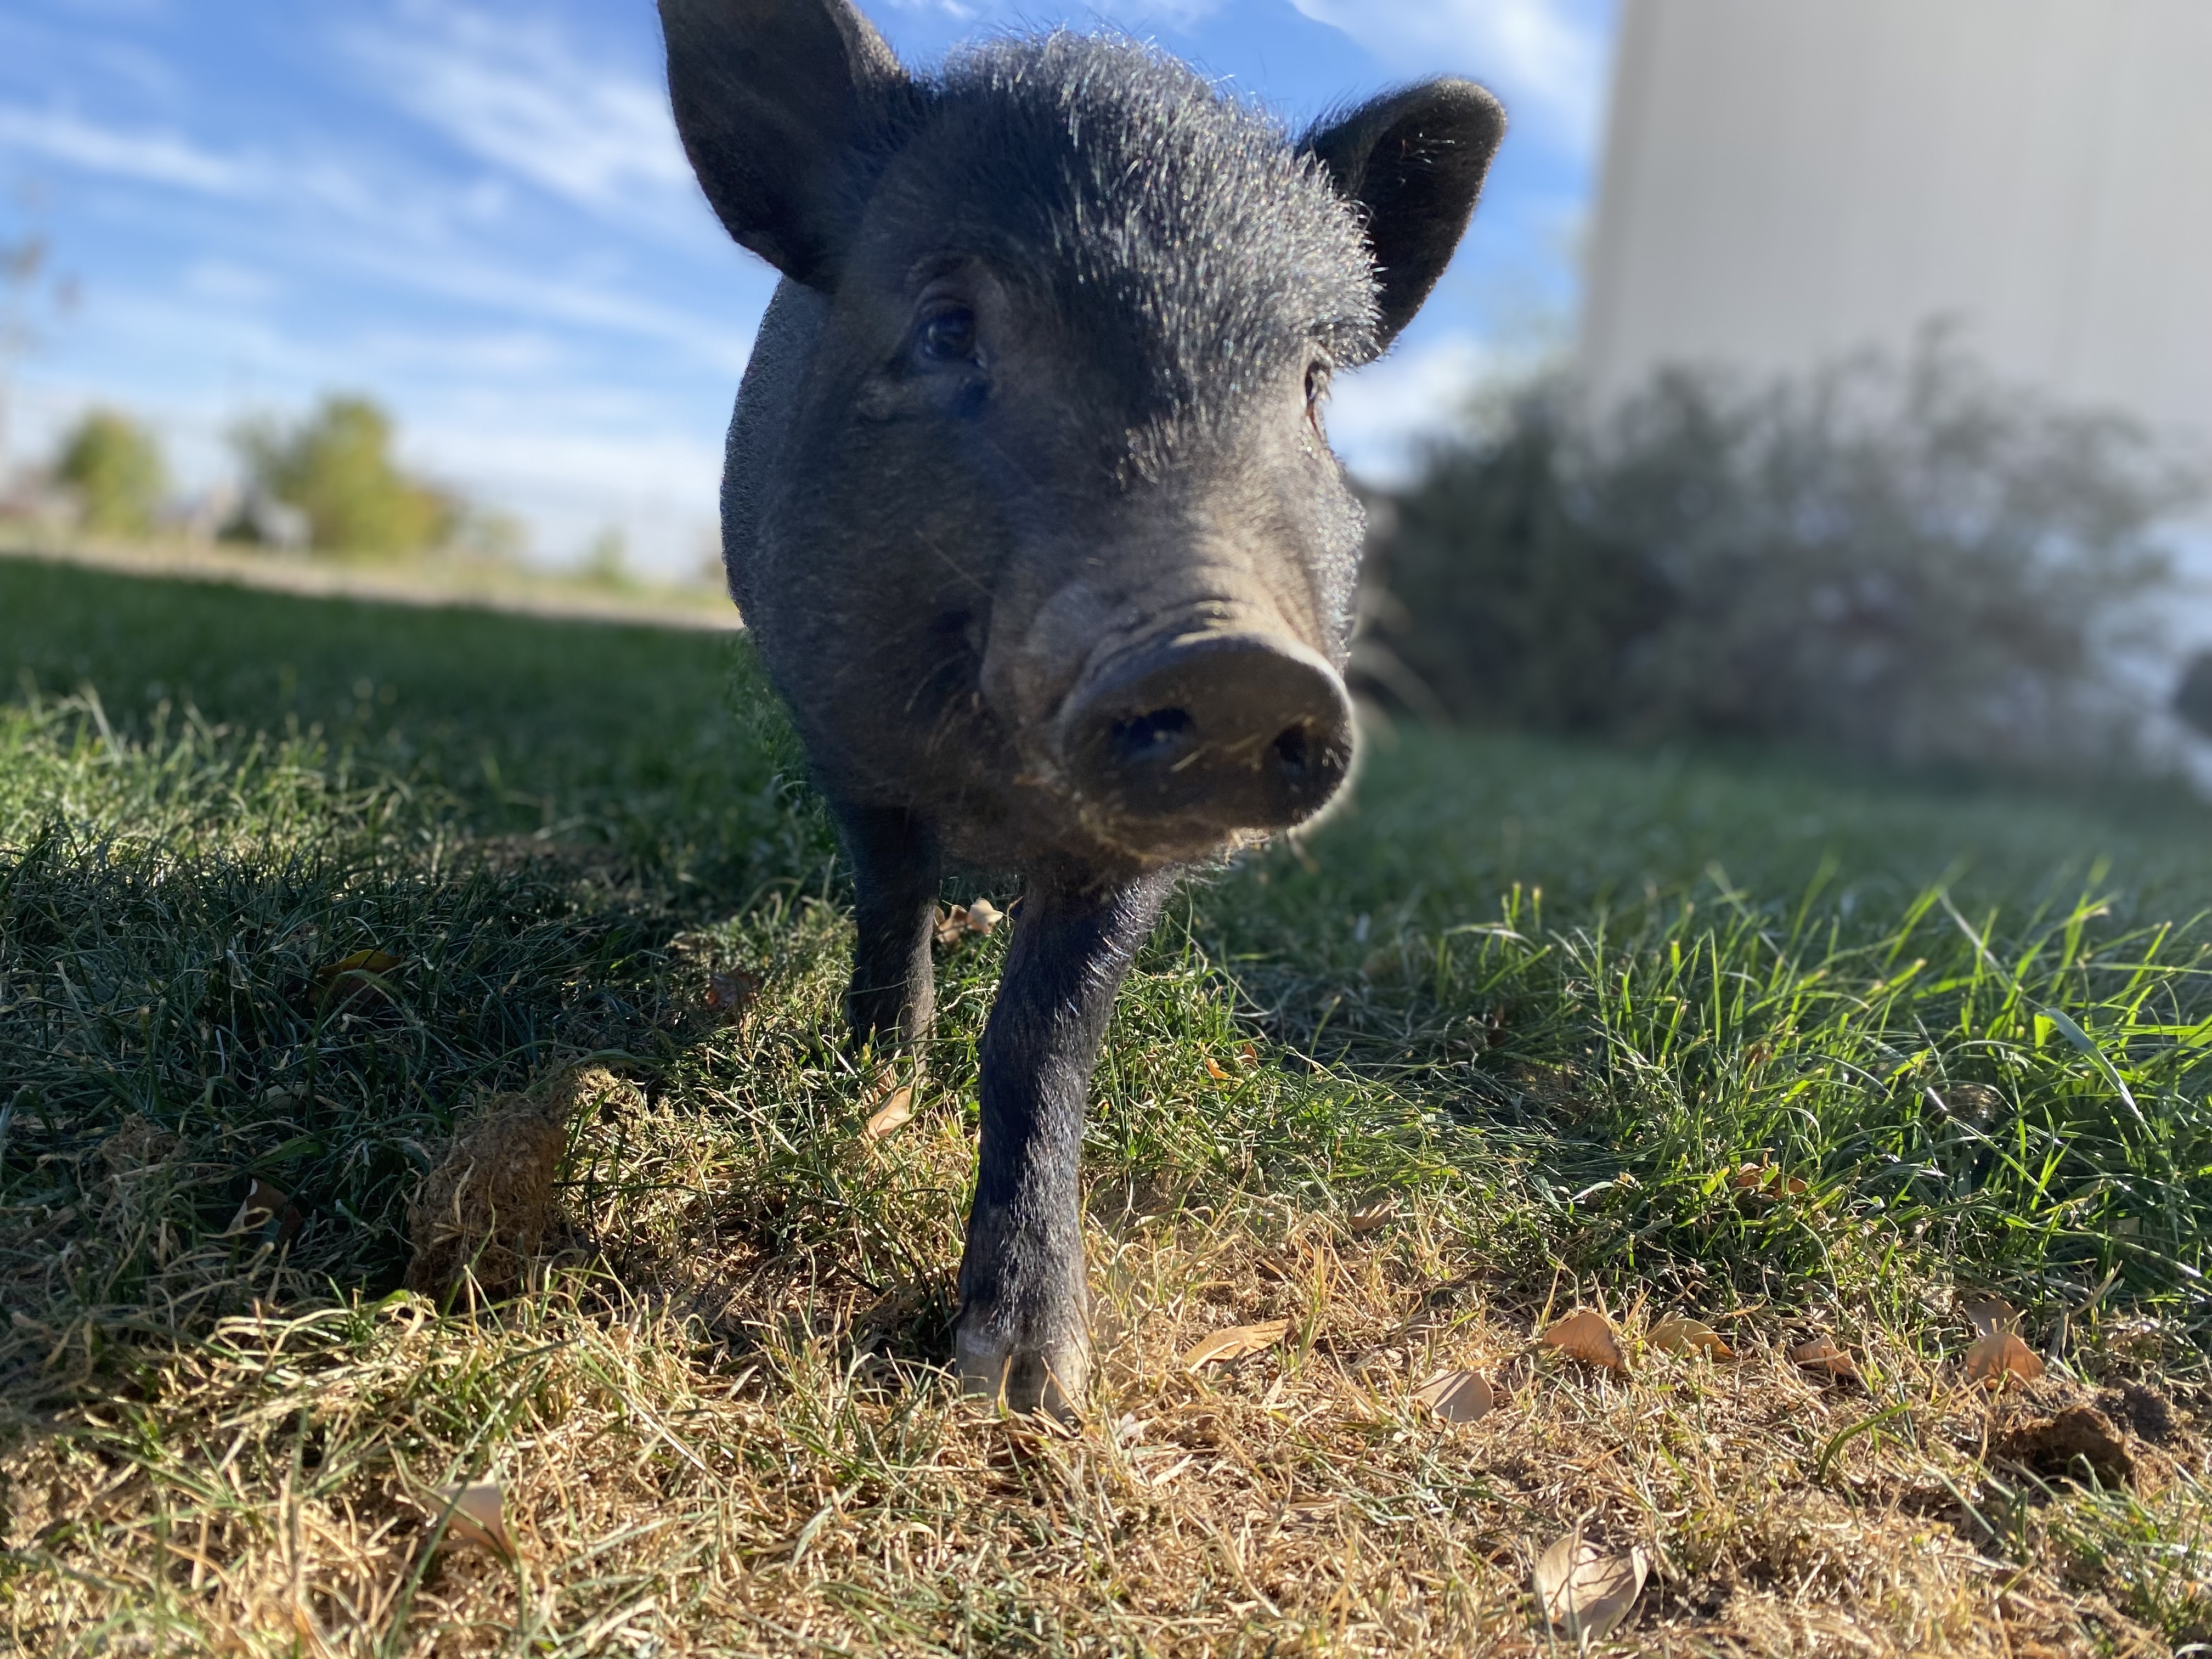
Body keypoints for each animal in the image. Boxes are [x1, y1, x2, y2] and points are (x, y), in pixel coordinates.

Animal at [661, 0, 1503, 1412]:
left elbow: (1045, 1034)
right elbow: (893, 891)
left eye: (1313, 384)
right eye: (948, 327)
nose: (1237, 662)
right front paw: (877, 1071)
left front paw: (1032, 1385)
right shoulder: (840, 726)